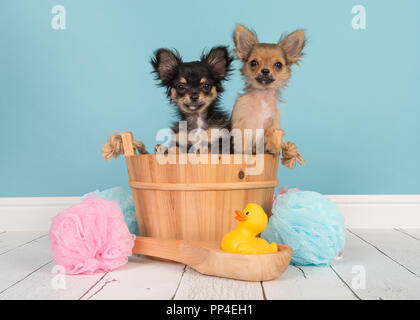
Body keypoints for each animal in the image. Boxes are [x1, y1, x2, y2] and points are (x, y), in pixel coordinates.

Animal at [230, 24, 306, 154]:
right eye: (254, 63)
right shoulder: (240, 120)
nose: (265, 70)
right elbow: (242, 137)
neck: (262, 99)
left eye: (278, 65)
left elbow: (271, 131)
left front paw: (272, 145)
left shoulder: (273, 122)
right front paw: (243, 151)